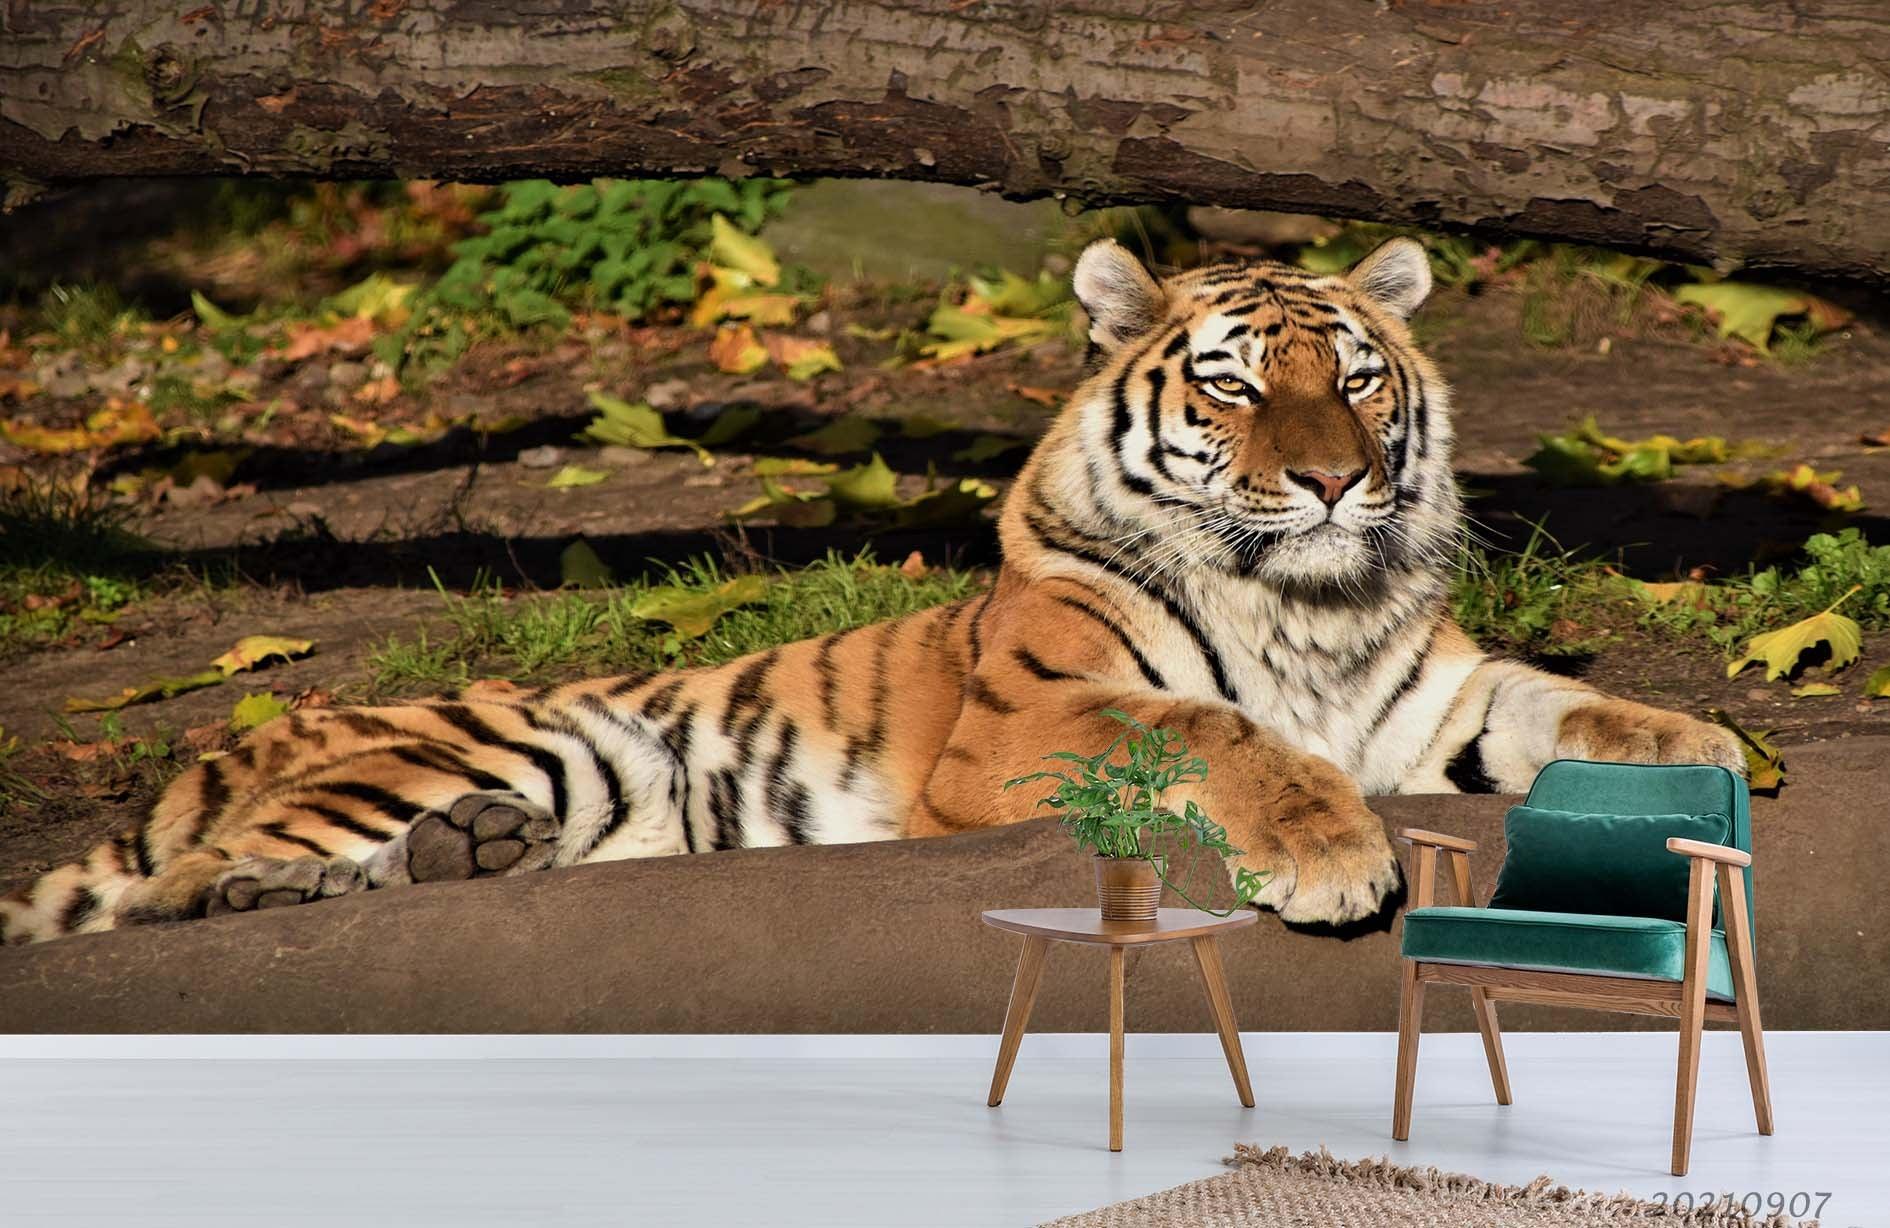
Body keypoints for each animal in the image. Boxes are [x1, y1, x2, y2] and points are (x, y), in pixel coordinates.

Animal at [0, 236, 1745, 947]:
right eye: (1239, 387)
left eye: (1358, 380)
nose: (1329, 481)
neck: (1301, 600)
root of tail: (241, 736)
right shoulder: (1023, 724)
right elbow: (1216, 736)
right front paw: (1327, 857)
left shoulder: (1430, 700)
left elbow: (1579, 707)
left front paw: (1709, 762)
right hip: (502, 739)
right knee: (172, 890)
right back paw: (263, 891)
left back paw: (466, 861)